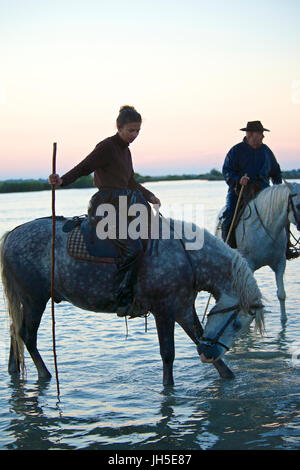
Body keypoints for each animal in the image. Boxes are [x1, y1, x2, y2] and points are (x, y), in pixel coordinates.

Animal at [0, 217, 264, 386]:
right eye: (238, 324)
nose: (208, 354)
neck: (188, 256)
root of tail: (12, 234)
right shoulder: (164, 311)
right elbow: (168, 354)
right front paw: (168, 388)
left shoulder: (183, 309)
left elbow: (198, 337)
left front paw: (227, 375)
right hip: (35, 300)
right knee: (27, 335)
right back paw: (45, 374)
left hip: (24, 300)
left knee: (14, 330)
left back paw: (14, 369)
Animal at [217, 182, 300, 318]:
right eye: (298, 205)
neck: (267, 228)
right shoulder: (249, 265)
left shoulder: (280, 263)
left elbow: (281, 294)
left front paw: (283, 320)